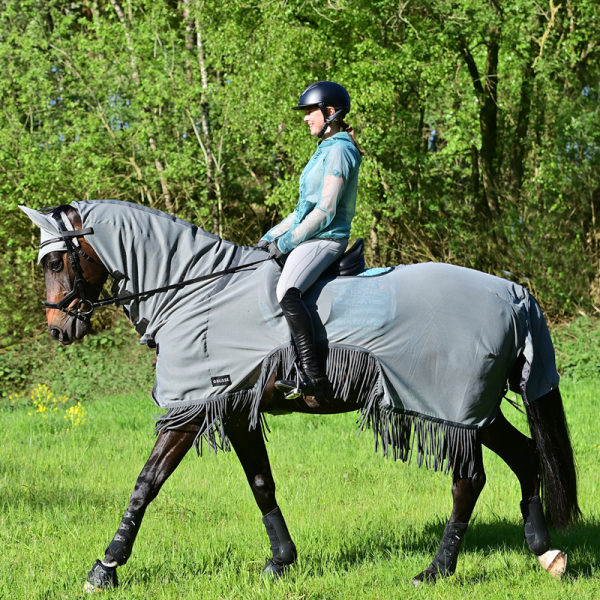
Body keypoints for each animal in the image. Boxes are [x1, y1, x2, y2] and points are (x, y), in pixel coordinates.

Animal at [23, 202, 580, 592]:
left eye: (56, 261)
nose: (57, 329)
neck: (196, 293)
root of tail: (512, 293)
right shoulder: (236, 410)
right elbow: (261, 484)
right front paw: (280, 561)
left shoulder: (191, 412)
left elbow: (145, 484)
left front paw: (105, 567)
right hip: (478, 412)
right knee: (524, 455)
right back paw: (545, 552)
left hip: (452, 414)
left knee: (469, 482)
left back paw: (436, 570)